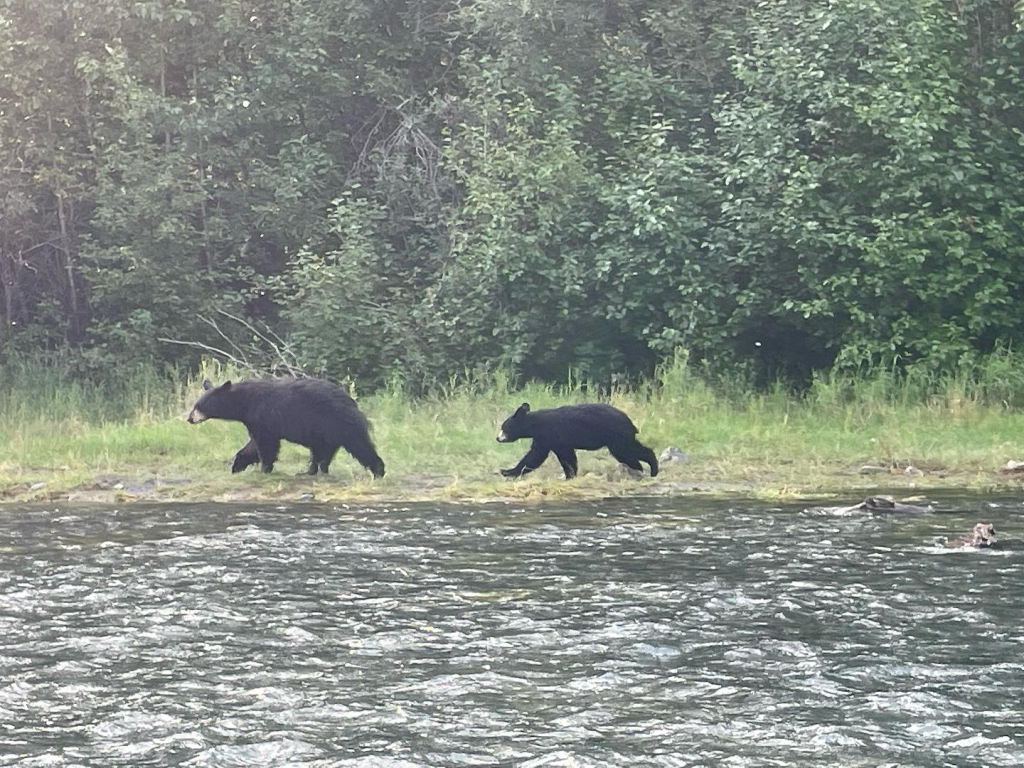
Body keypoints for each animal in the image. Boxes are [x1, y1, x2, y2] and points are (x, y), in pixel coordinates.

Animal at [187, 376, 385, 479]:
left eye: (199, 406)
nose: (189, 418)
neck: (245, 403)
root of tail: (352, 402)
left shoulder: (262, 416)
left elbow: (265, 444)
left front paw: (264, 469)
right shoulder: (255, 421)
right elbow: (253, 445)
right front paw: (237, 463)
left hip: (339, 423)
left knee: (359, 445)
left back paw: (378, 471)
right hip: (323, 431)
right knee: (321, 451)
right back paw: (311, 471)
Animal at [493, 403, 655, 481]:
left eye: (504, 427)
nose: (498, 438)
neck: (535, 425)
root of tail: (630, 422)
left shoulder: (549, 434)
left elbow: (535, 456)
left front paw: (506, 471)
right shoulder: (556, 440)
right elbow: (566, 457)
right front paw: (570, 474)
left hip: (615, 436)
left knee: (626, 452)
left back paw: (645, 468)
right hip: (622, 436)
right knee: (633, 447)